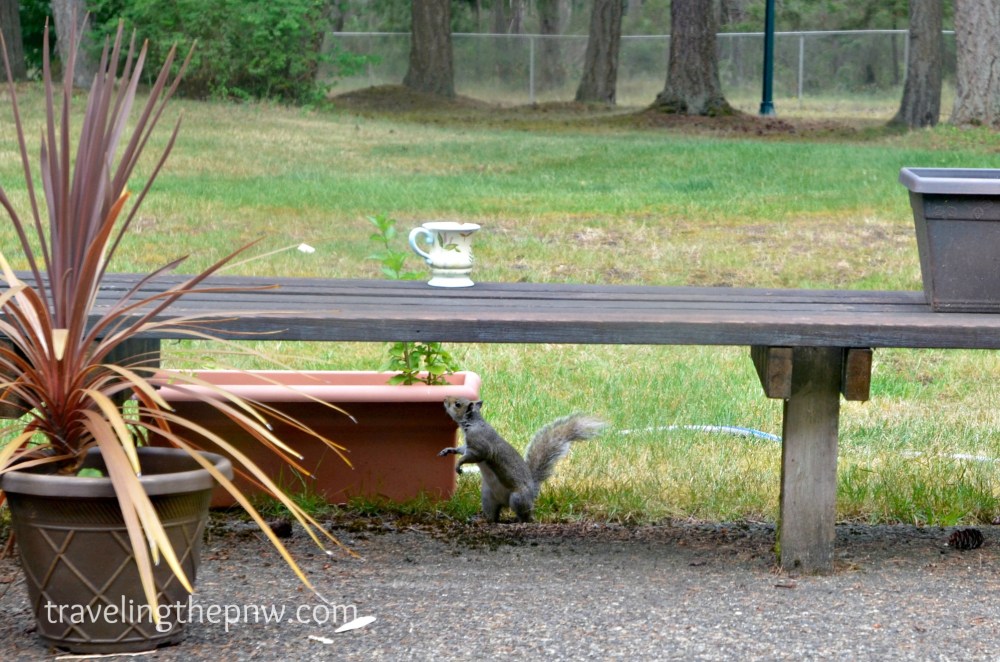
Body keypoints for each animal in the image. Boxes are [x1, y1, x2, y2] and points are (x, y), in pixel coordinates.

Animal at [438, 396, 606, 523]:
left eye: (457, 404)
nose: (445, 399)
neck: (472, 424)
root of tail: (532, 492)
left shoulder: (480, 446)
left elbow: (475, 456)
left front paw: (458, 465)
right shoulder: (468, 446)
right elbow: (461, 450)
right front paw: (449, 450)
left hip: (517, 499)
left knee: (525, 517)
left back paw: (518, 521)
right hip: (487, 498)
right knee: (493, 517)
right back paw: (482, 520)